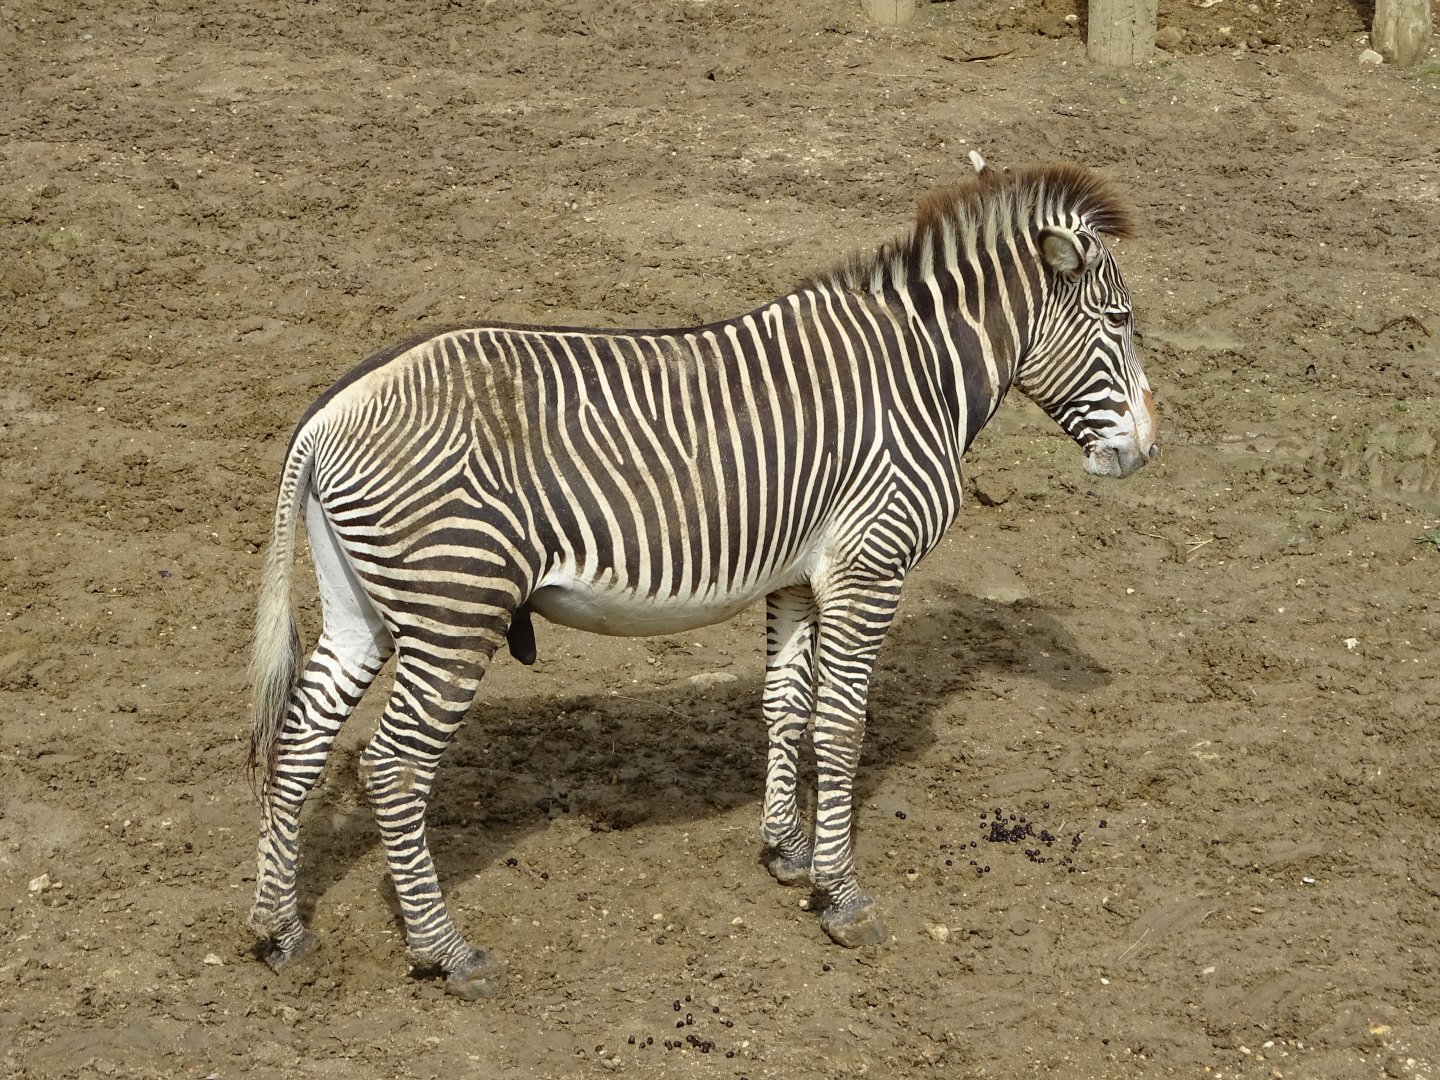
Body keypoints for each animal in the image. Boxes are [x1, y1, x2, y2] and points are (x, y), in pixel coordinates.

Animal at [247, 159, 1158, 999]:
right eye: (1119, 321)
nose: (1145, 453)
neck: (919, 374)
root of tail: (326, 415)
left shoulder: (798, 576)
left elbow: (786, 706)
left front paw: (788, 852)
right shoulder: (870, 565)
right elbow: (842, 728)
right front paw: (842, 897)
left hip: (365, 606)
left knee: (298, 740)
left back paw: (279, 930)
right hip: (457, 608)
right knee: (392, 766)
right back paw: (446, 952)